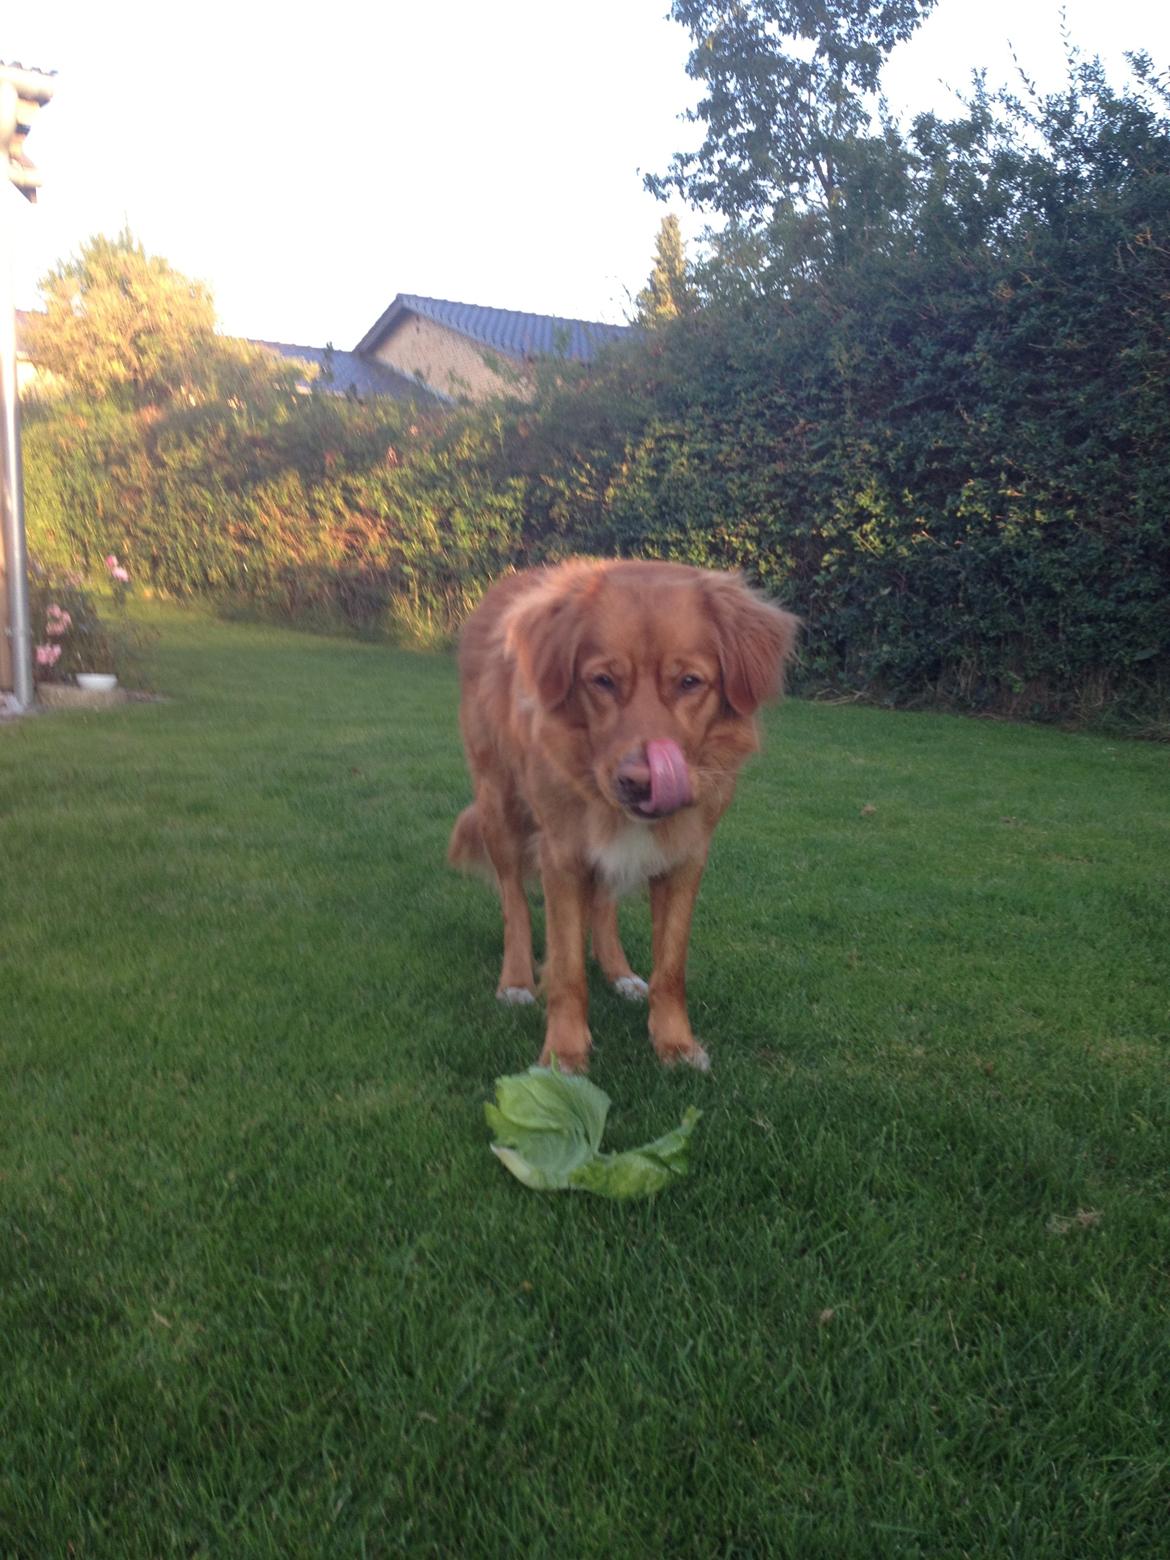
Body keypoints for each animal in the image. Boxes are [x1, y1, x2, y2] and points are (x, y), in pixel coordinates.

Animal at [446, 558, 798, 1073]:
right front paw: (564, 1054)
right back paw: (516, 981)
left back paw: (620, 973)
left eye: (689, 682)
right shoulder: (561, 855)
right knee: (514, 900)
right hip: (499, 807)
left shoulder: (685, 857)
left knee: (603, 903)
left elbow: (670, 967)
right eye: (603, 681)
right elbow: (567, 970)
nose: (642, 781)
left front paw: (674, 1043)